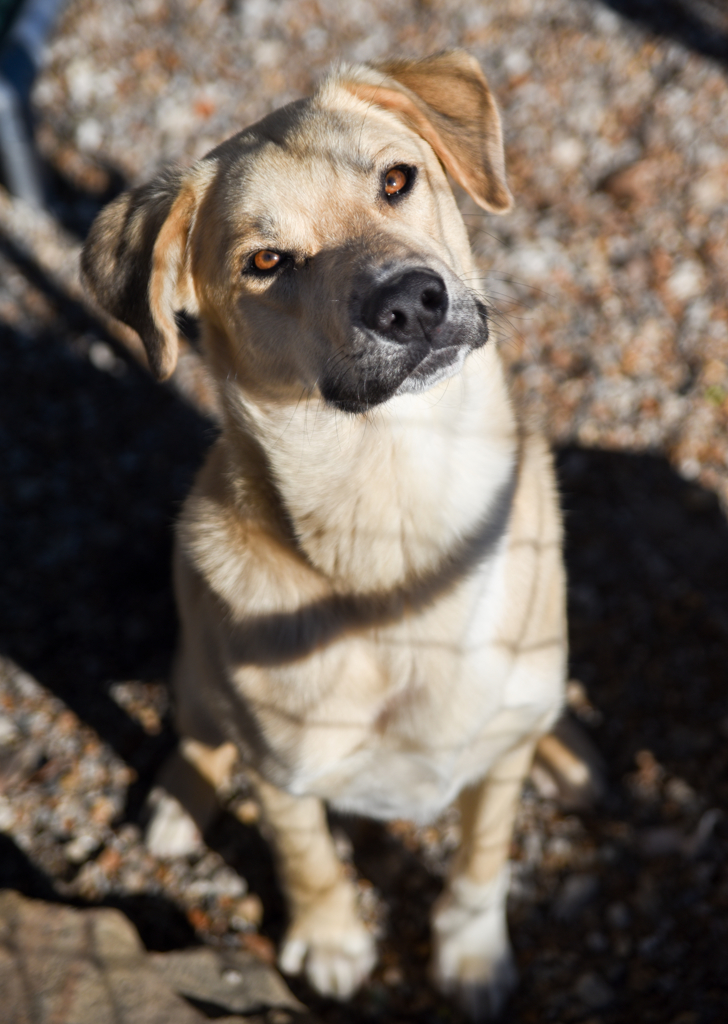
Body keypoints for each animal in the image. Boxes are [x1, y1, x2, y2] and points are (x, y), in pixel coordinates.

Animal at [81, 51, 581, 1019]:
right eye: (266, 261)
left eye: (397, 179)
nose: (410, 303)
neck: (401, 534)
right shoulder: (281, 774)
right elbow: (307, 855)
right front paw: (333, 943)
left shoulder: (492, 767)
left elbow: (483, 860)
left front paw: (470, 957)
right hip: (196, 654)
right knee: (197, 724)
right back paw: (177, 803)